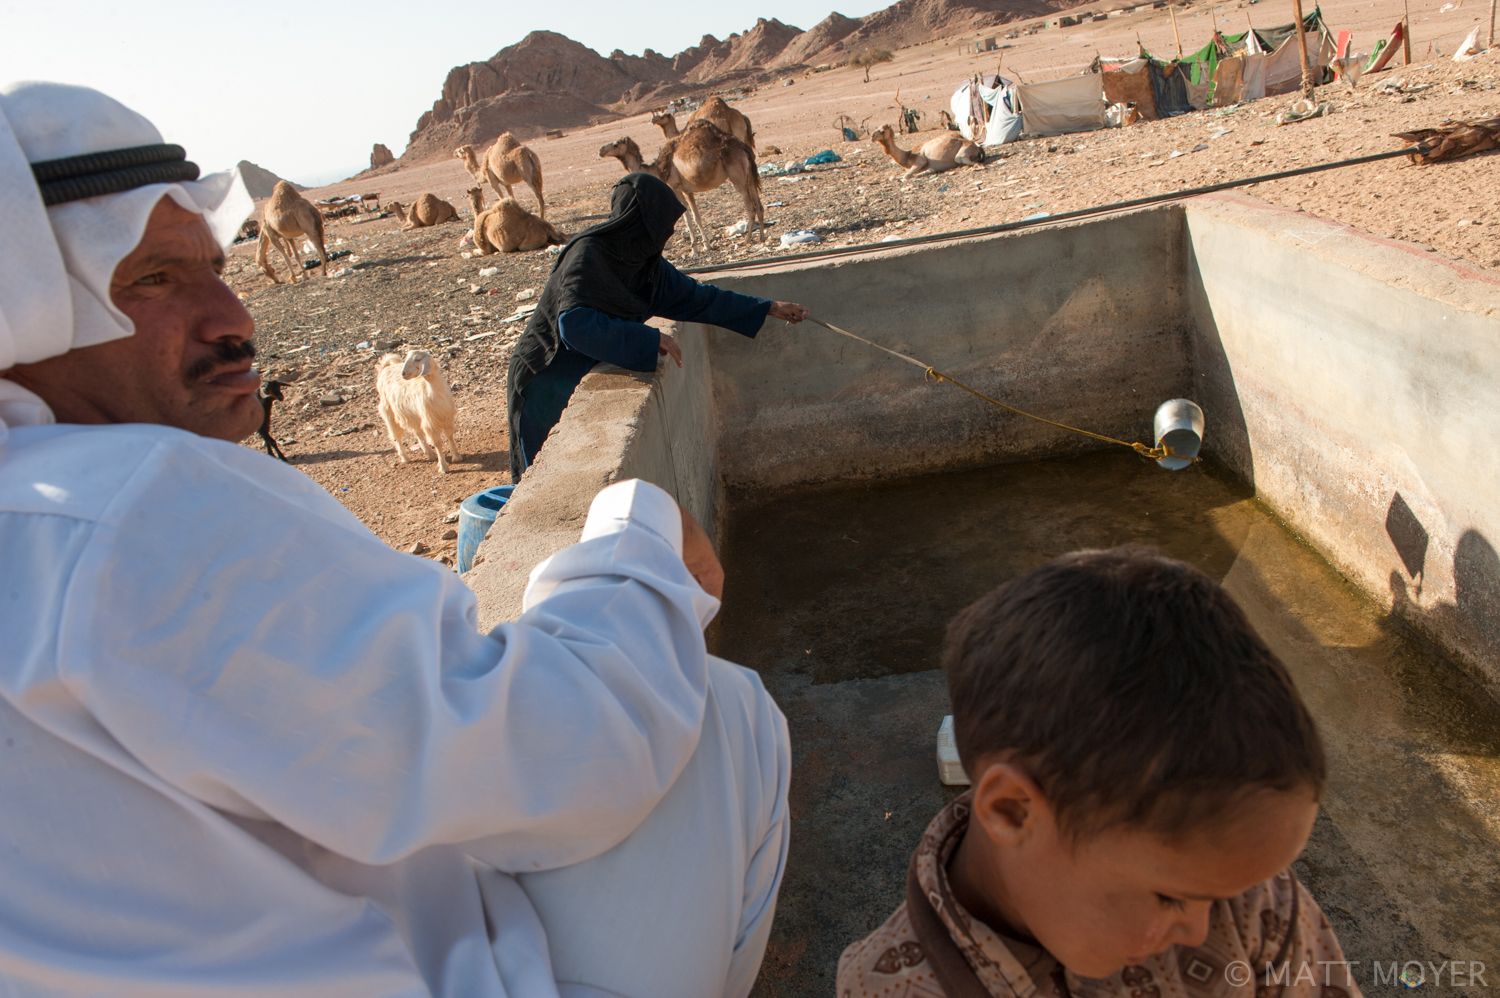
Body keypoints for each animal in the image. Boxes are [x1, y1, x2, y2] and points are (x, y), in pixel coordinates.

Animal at [597, 119, 762, 255]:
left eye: (616, 144)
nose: (601, 150)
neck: (657, 169)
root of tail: (743, 147)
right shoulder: (687, 190)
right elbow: (697, 217)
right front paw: (706, 246)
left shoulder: (675, 187)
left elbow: (686, 219)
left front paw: (694, 250)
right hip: (749, 176)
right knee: (758, 204)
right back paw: (762, 237)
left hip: (738, 177)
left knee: (750, 207)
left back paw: (747, 240)